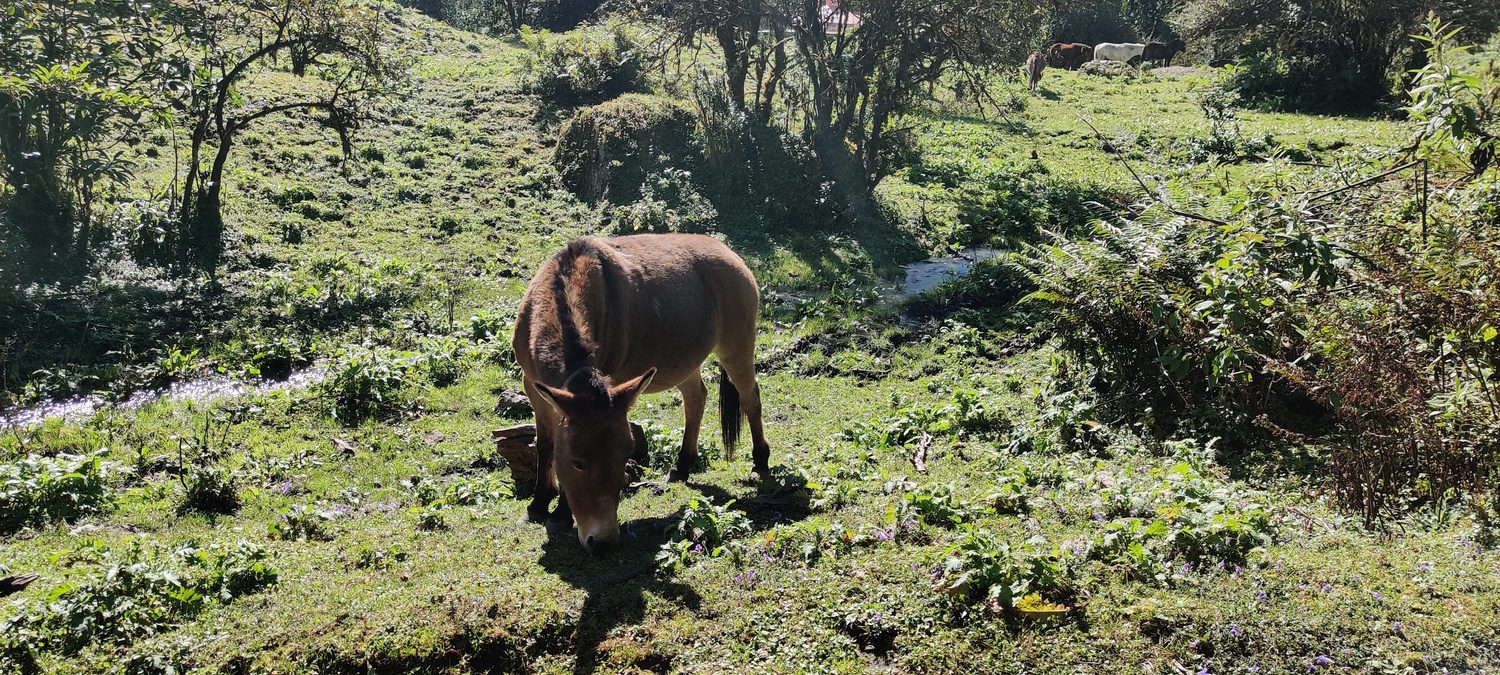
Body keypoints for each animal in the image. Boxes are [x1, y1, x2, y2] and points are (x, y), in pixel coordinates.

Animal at [516, 234, 774, 552]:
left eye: (626, 455)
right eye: (577, 462)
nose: (603, 541)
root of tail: (731, 254)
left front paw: (560, 514)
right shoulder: (534, 387)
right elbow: (545, 445)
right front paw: (538, 505)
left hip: (736, 348)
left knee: (750, 398)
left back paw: (760, 460)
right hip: (686, 364)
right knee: (696, 399)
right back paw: (682, 465)